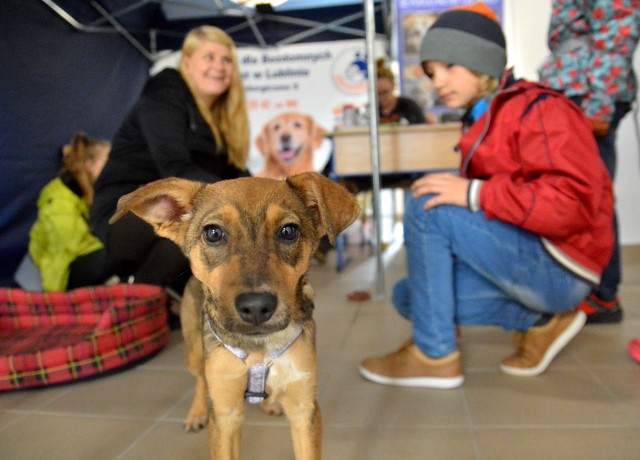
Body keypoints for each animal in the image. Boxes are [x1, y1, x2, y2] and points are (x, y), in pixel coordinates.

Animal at [110, 171, 360, 458]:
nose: (256, 307)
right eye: (213, 233)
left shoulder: (304, 408)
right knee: (200, 379)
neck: (259, 348)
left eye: (289, 231)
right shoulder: (225, 413)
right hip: (193, 350)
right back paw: (197, 413)